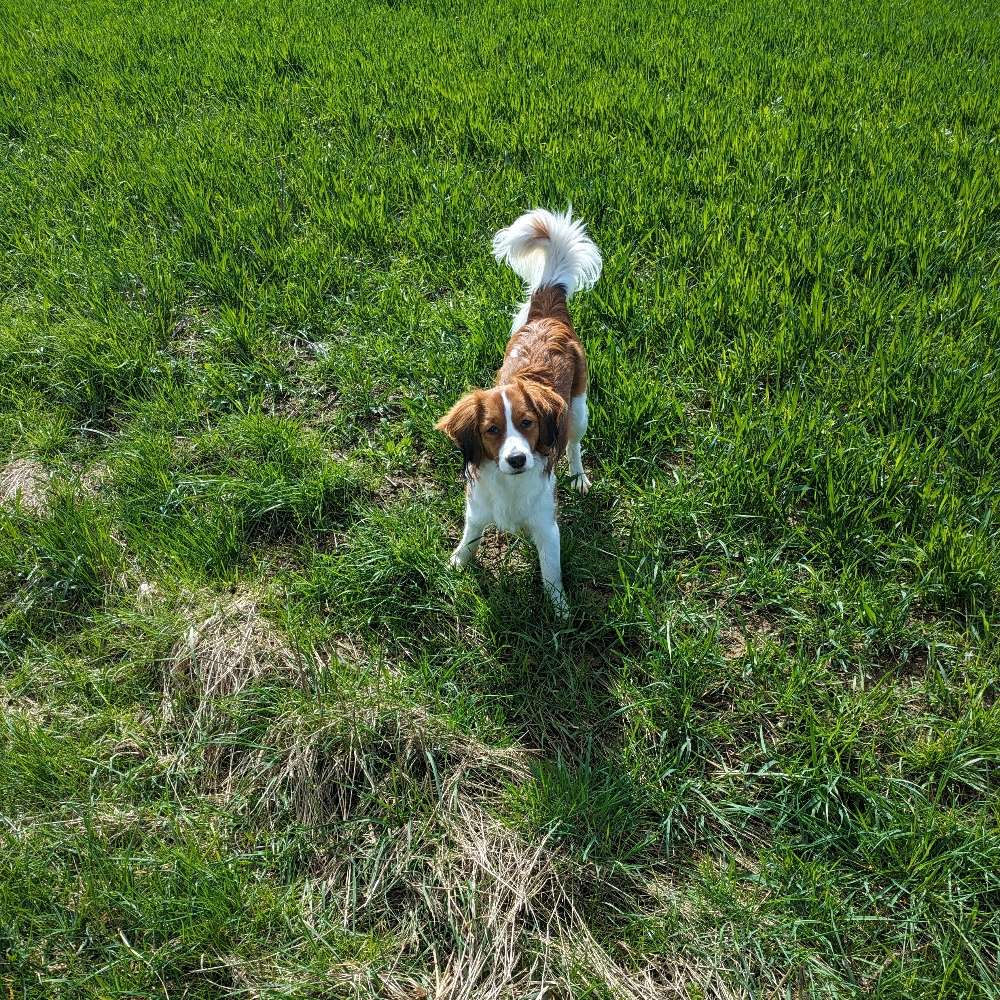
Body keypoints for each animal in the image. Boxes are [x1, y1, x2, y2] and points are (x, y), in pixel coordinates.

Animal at [436, 208, 600, 616]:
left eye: (527, 424)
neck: (509, 483)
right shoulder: (477, 507)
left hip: (578, 411)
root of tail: (548, 317)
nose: (516, 459)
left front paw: (561, 613)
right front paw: (457, 562)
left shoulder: (546, 525)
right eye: (492, 430)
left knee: (574, 445)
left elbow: (551, 575)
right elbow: (470, 536)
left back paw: (578, 476)